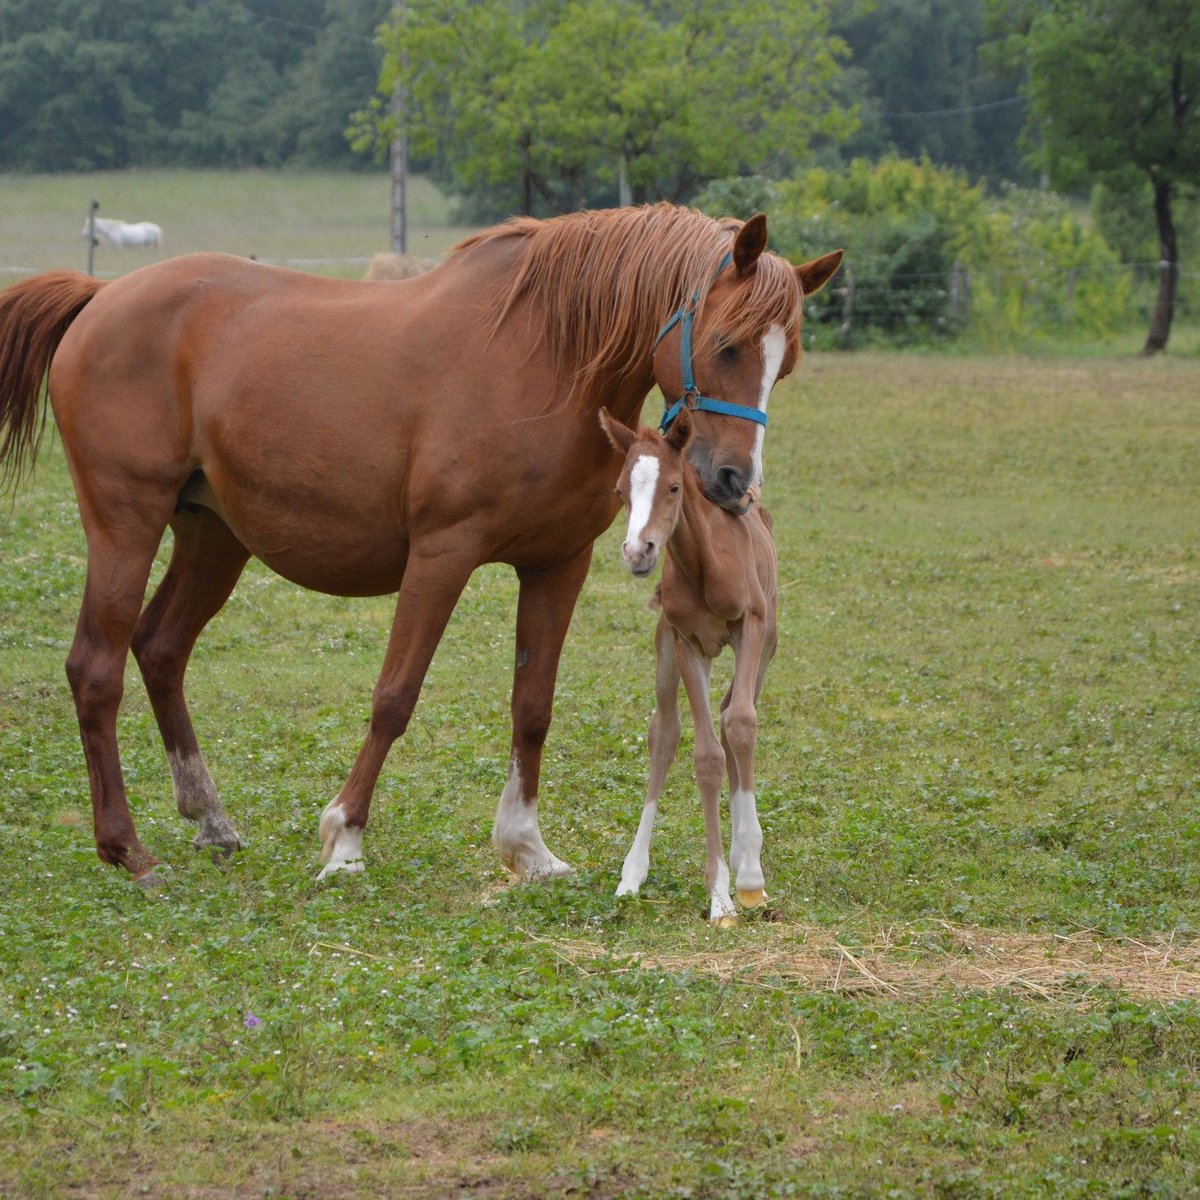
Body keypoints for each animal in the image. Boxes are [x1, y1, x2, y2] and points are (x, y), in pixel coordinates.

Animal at [600, 408, 777, 921]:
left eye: (675, 487)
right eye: (620, 491)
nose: (638, 552)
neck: (705, 563)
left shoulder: (750, 627)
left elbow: (741, 724)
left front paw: (749, 878)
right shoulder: (686, 643)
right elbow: (706, 755)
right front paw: (719, 897)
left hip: (767, 647)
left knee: (733, 713)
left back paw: (746, 851)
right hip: (665, 647)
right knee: (666, 730)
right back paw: (633, 873)